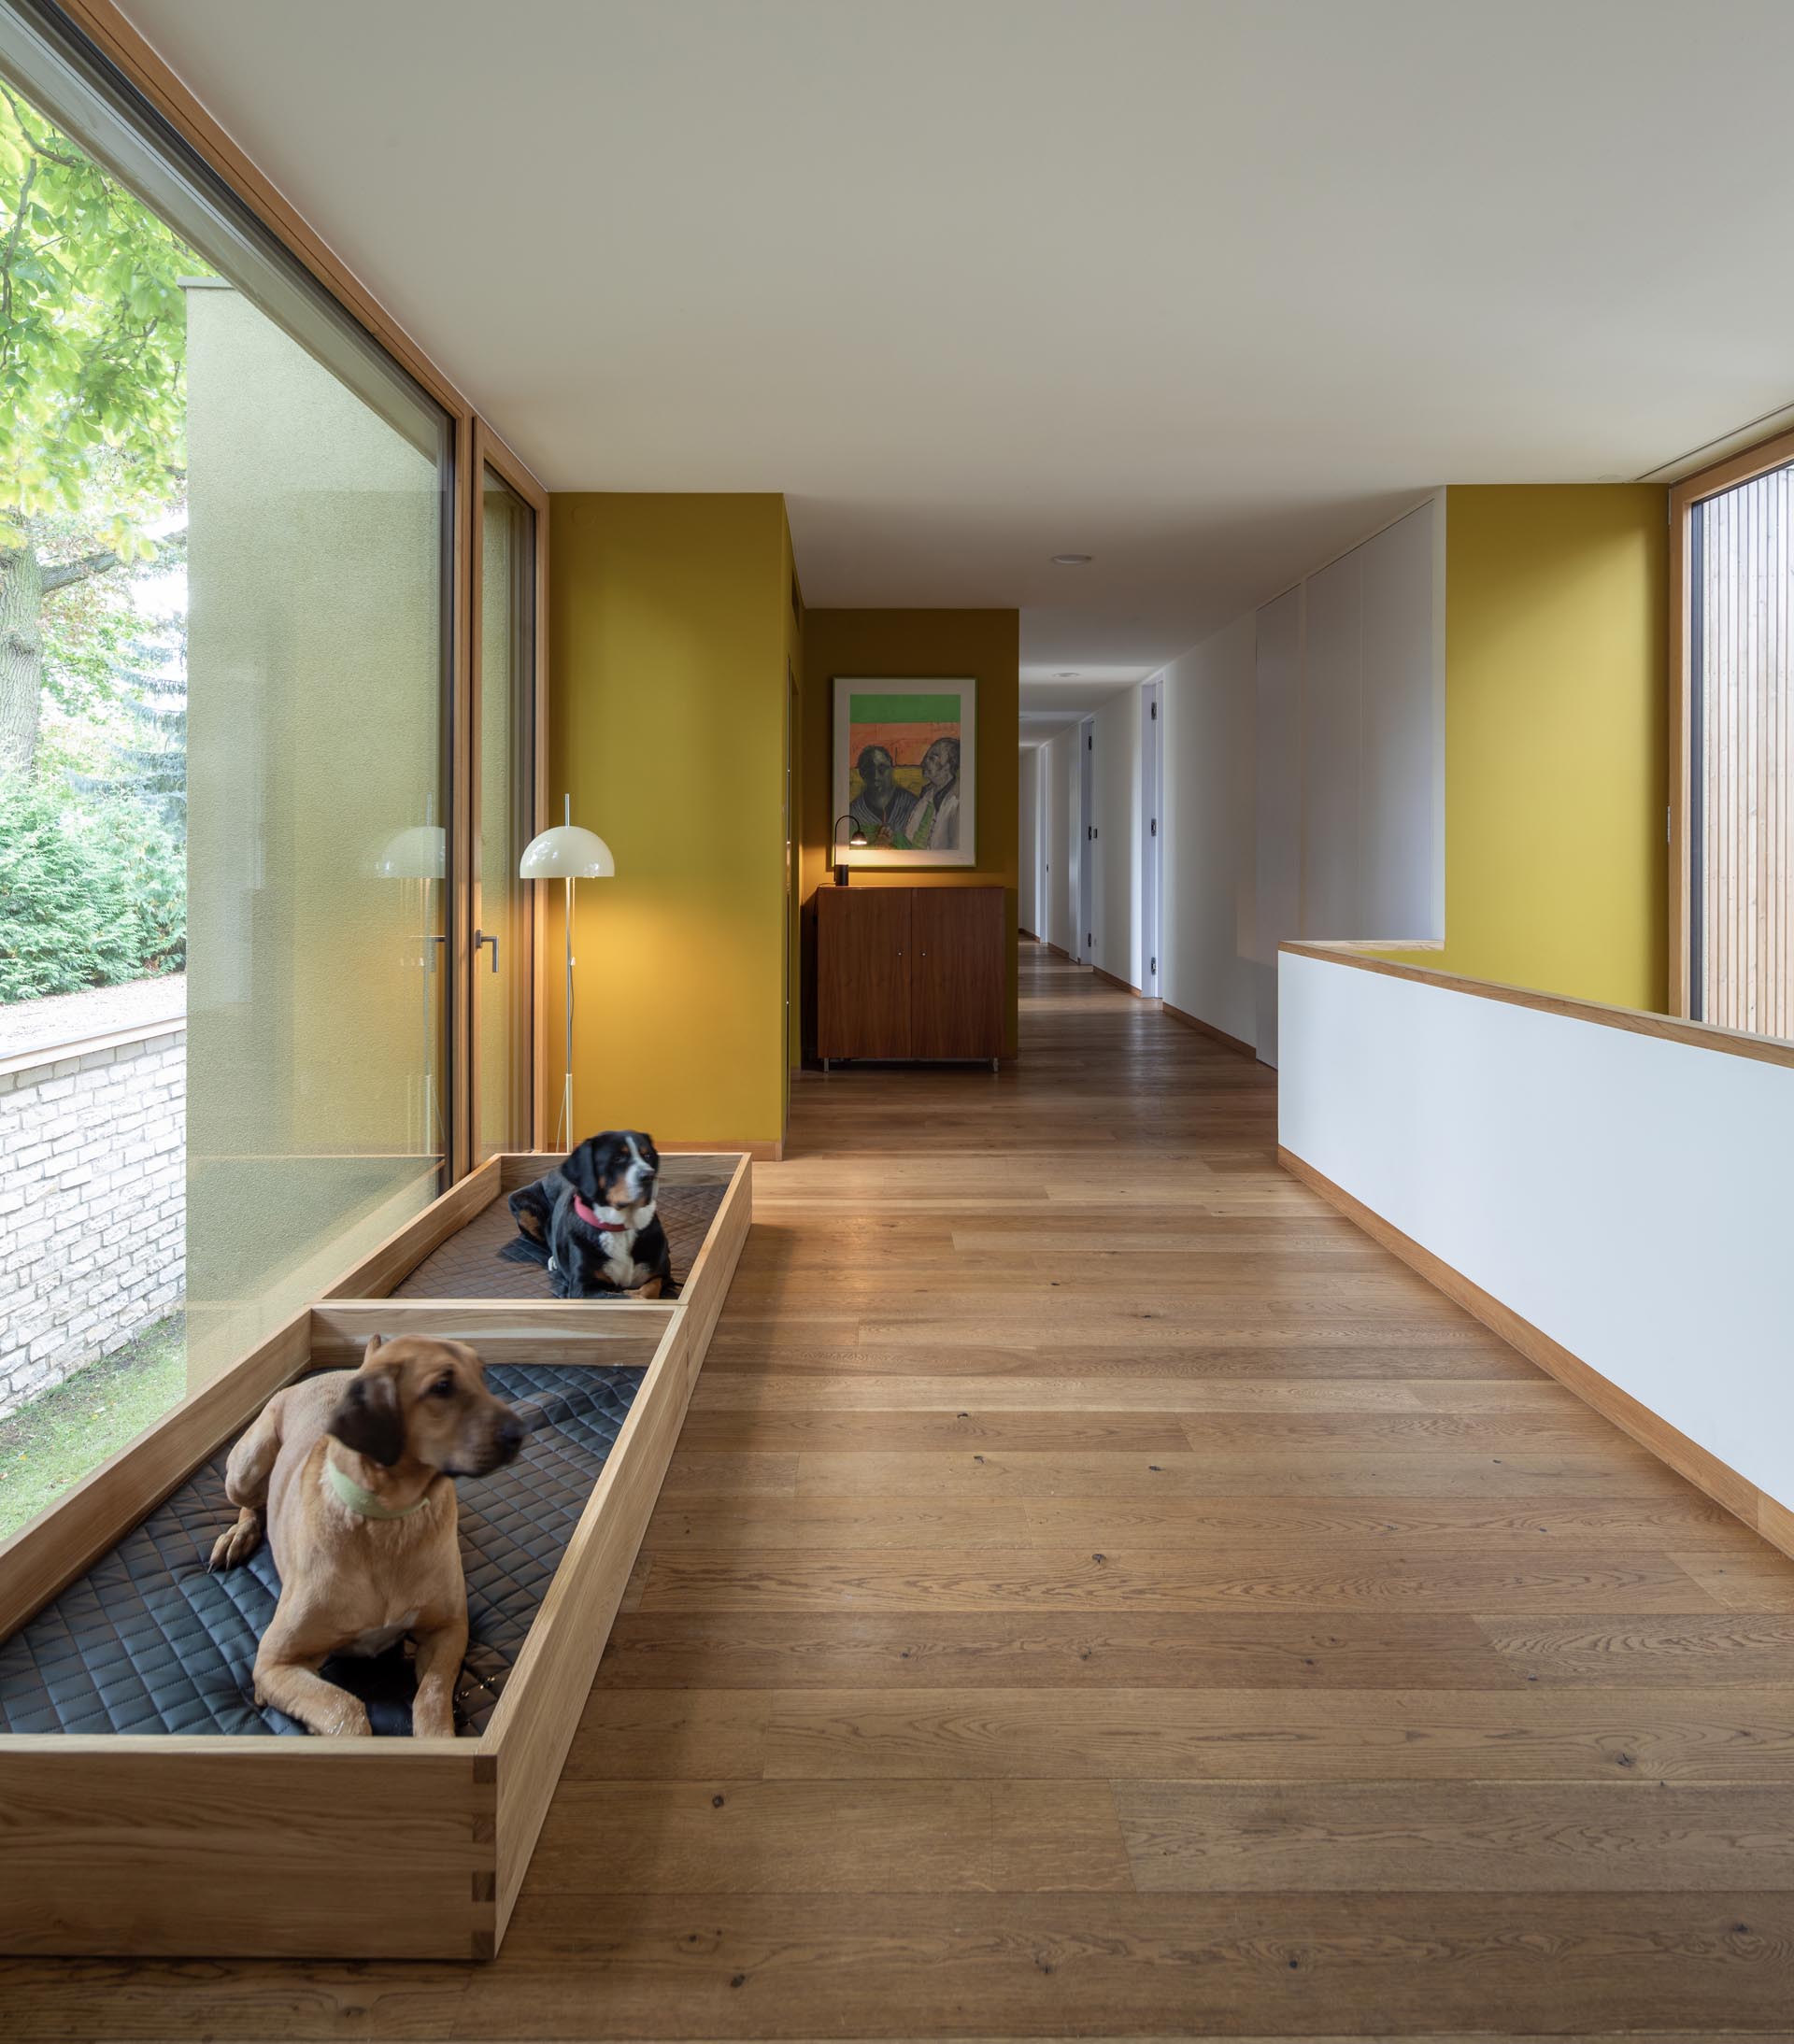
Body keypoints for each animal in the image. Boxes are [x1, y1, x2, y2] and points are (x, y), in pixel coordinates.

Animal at [209, 1341, 522, 1741]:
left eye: (482, 1373)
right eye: (442, 1387)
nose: (521, 1431)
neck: (388, 1522)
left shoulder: (449, 1629)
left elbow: (432, 1696)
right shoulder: (273, 1662)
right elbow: (347, 1709)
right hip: (246, 1468)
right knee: (252, 1502)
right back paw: (239, 1534)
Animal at [498, 1128, 674, 1299]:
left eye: (648, 1156)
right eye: (617, 1158)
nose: (649, 1175)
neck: (620, 1227)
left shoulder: (662, 1274)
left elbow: (647, 1291)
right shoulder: (583, 1288)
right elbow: (628, 1298)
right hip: (520, 1202)